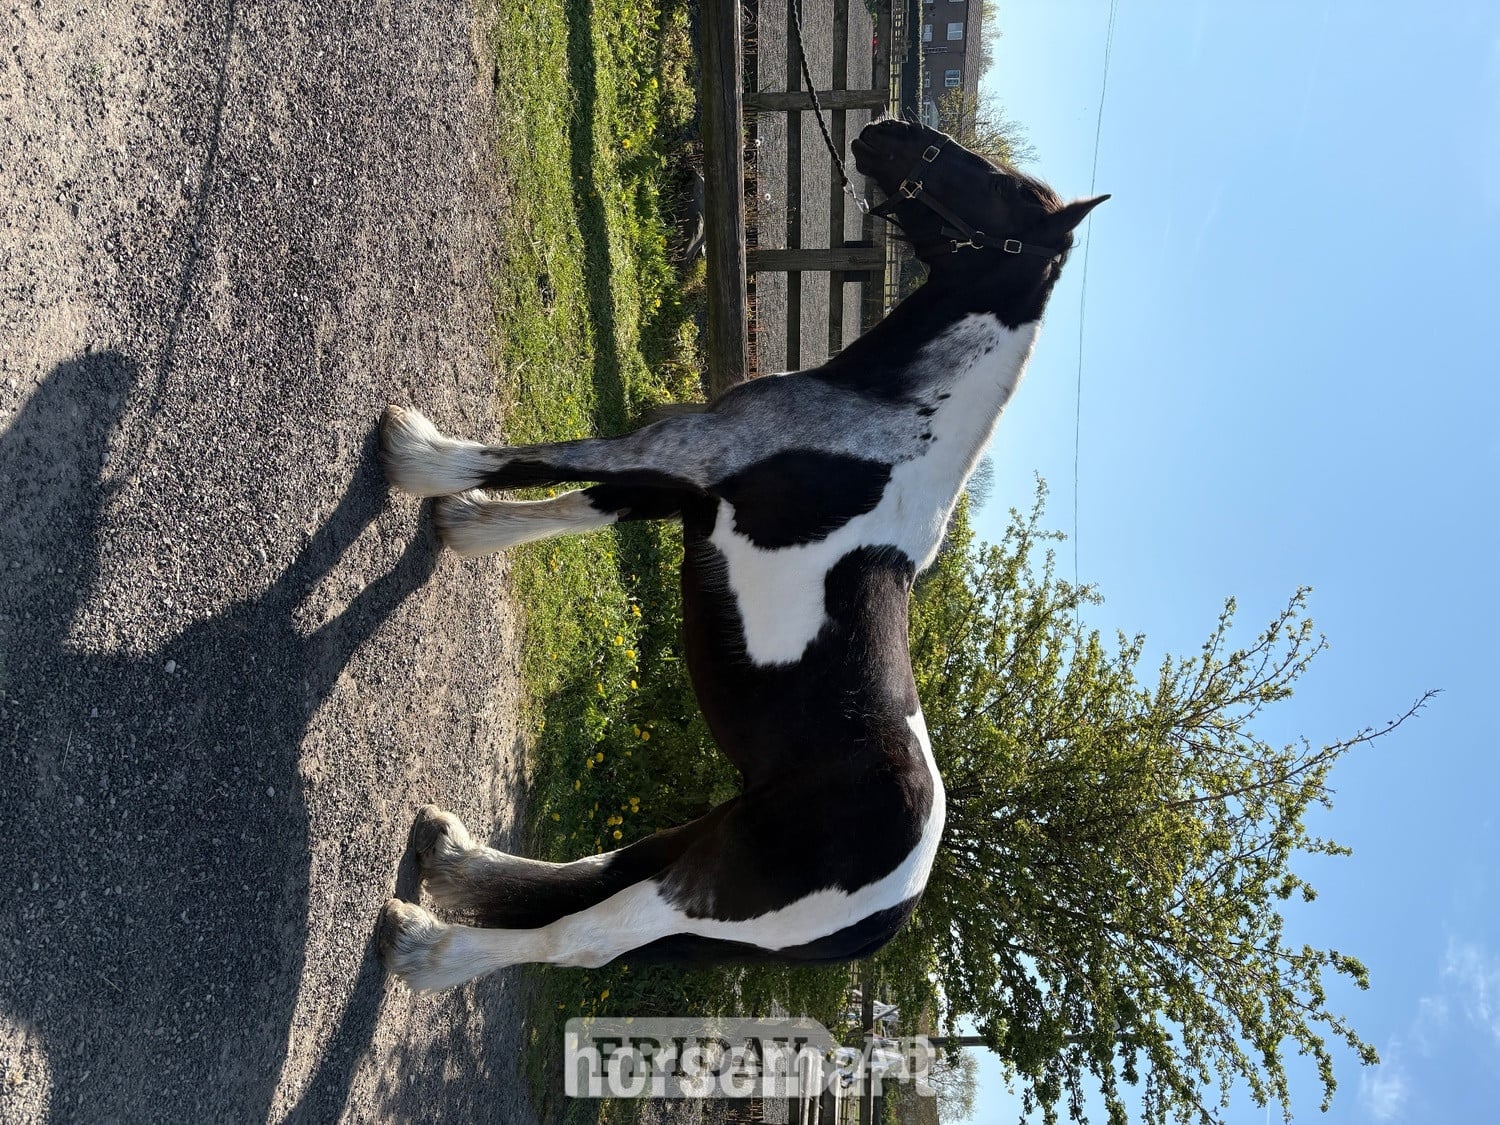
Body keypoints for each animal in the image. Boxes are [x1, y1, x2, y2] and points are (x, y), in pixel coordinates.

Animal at [376, 118, 1106, 990]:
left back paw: (427, 946)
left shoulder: (679, 453)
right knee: (597, 874)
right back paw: (450, 856)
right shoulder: (686, 491)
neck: (891, 421)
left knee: (584, 935)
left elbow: (541, 461)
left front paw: (418, 457)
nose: (884, 131)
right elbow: (576, 505)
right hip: (710, 840)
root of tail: (892, 909)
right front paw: (467, 525)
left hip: (710, 885)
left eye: (1005, 190)